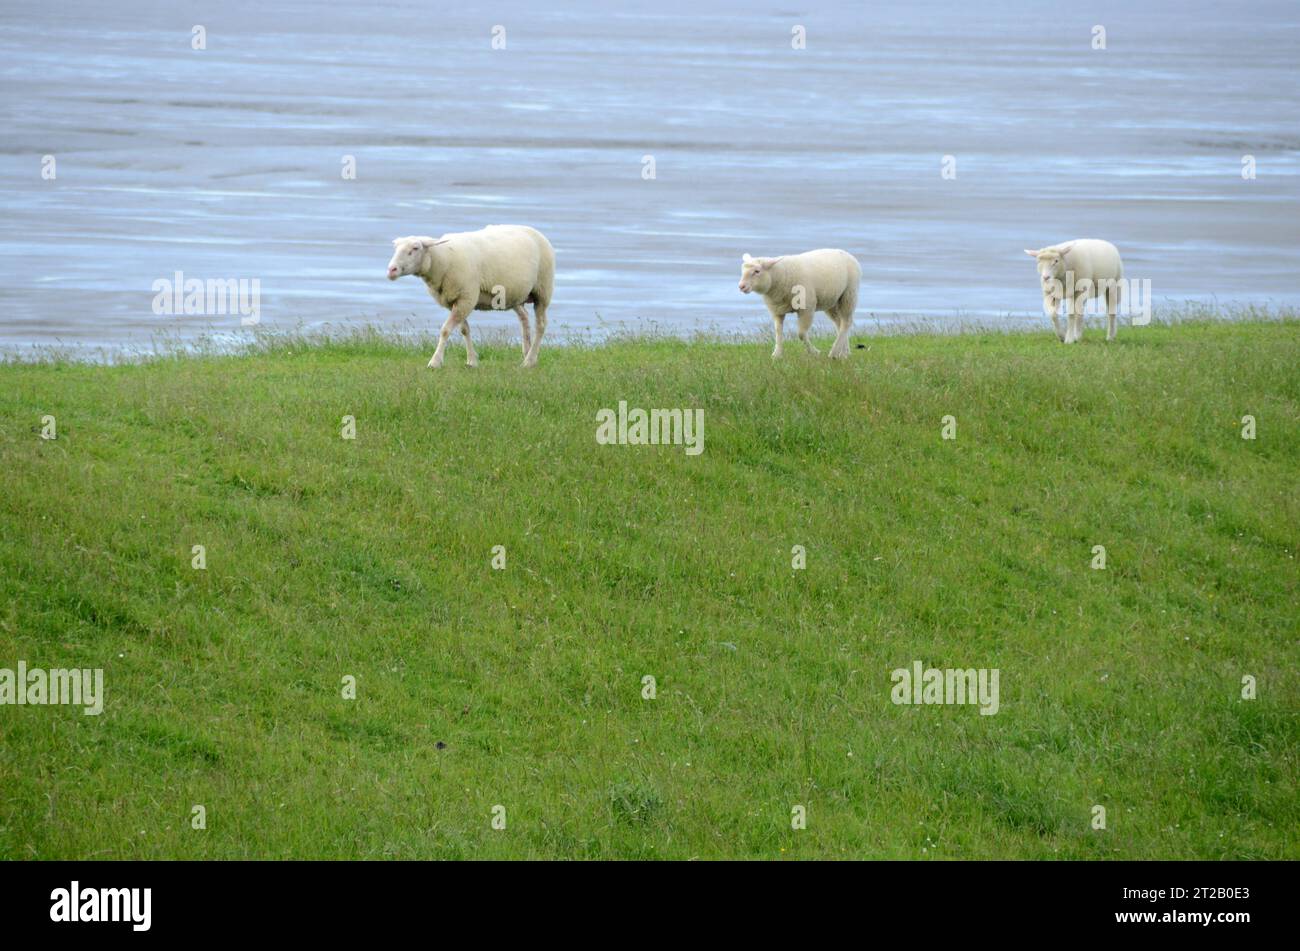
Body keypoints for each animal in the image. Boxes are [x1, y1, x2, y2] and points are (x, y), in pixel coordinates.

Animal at [379, 224, 553, 368]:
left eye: (415, 248)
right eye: (396, 248)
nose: (391, 270)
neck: (443, 260)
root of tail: (532, 230)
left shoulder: (466, 298)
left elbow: (445, 330)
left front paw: (435, 361)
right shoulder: (454, 300)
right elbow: (464, 330)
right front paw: (472, 361)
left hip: (543, 290)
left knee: (540, 325)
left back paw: (529, 361)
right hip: (515, 296)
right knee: (524, 319)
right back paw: (527, 353)